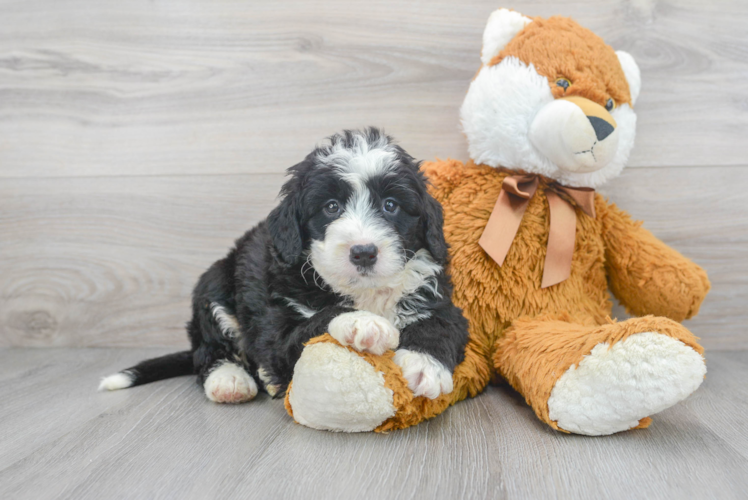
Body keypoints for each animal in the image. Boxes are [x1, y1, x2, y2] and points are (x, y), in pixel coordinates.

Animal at [101, 128, 468, 402]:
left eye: (391, 205)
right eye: (331, 207)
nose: (363, 252)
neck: (363, 291)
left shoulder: (436, 296)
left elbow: (441, 324)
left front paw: (425, 366)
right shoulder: (276, 332)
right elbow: (318, 319)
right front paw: (363, 322)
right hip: (213, 285)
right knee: (207, 350)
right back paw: (229, 379)